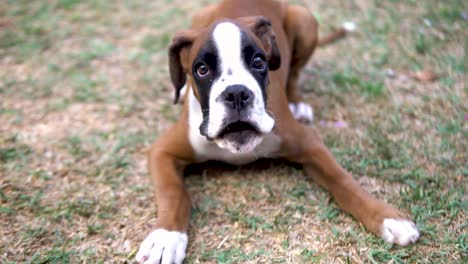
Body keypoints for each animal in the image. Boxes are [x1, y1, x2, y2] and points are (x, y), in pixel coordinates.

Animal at [136, 1, 420, 262]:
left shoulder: (310, 144)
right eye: (202, 69)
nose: (236, 93)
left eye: (258, 62)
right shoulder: (162, 151)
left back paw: (297, 103)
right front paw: (166, 238)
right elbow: (173, 192)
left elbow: (343, 180)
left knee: (294, 73)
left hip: (305, 22)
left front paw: (387, 217)